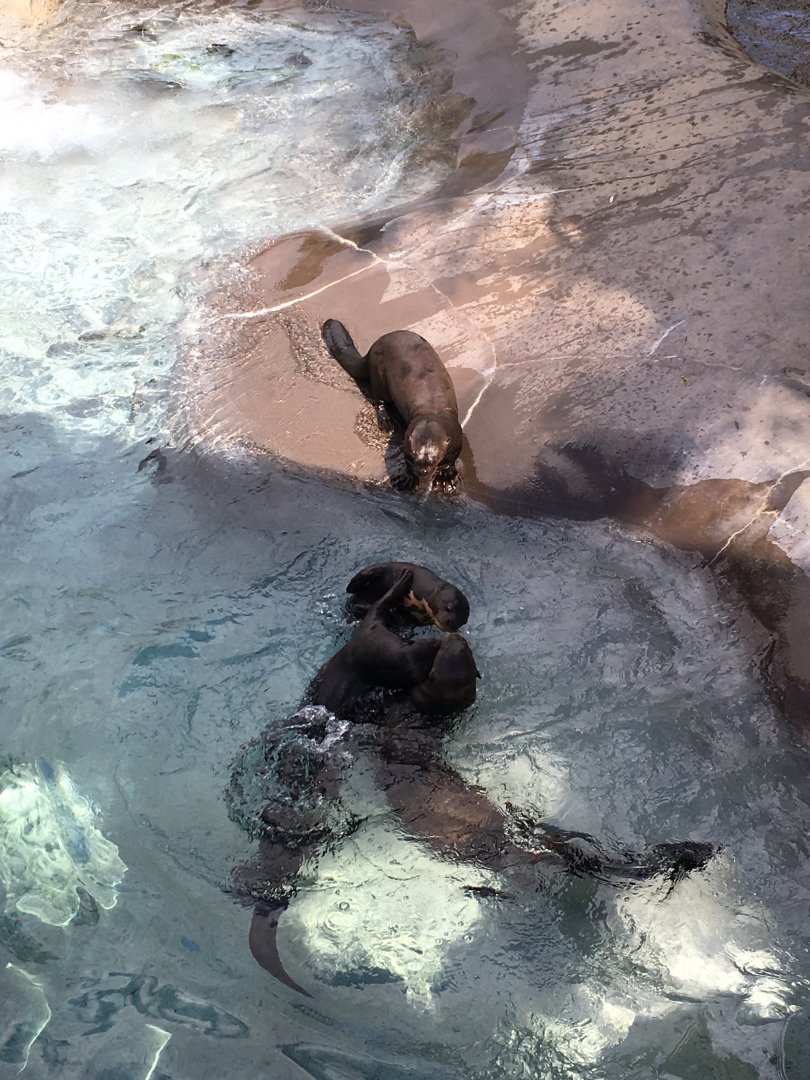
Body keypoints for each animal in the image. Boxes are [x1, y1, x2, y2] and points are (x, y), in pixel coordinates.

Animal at [322, 319, 463, 489]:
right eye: (414, 456)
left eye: (434, 458)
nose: (422, 472)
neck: (433, 410)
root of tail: (373, 347)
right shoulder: (408, 446)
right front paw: (408, 478)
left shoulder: (457, 438)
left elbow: (451, 460)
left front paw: (447, 476)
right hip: (378, 375)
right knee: (378, 400)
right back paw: (386, 421)